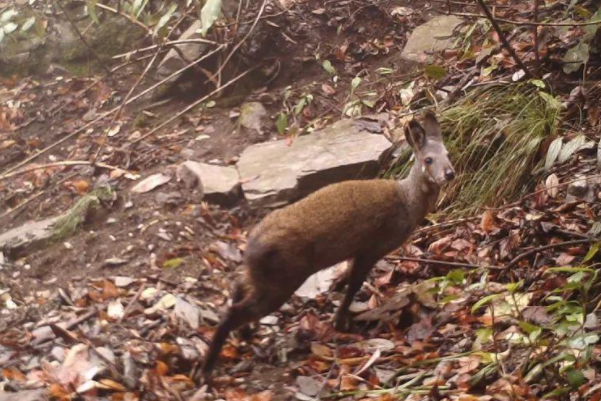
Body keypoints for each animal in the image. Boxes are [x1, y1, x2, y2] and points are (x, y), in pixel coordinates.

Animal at [199, 111, 452, 380]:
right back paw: (206, 369)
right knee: (234, 310)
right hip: (282, 280)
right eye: (428, 159)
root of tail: (250, 247)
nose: (449, 173)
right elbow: (354, 284)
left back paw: (244, 335)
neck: (408, 204)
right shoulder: (372, 247)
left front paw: (337, 300)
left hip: (265, 277)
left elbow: (347, 278)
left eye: (447, 154)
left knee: (237, 285)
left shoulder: (358, 250)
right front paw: (341, 322)